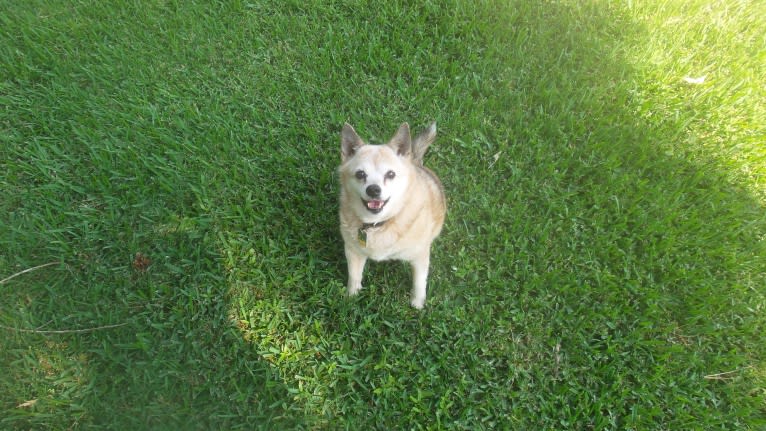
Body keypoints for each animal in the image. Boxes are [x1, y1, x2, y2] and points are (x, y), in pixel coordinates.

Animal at [340, 123, 448, 308]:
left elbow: (419, 281)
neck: (379, 224)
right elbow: (354, 275)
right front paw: (351, 297)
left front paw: (417, 303)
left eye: (390, 174)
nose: (373, 189)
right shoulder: (353, 251)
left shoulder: (420, 255)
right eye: (360, 174)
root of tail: (414, 161)